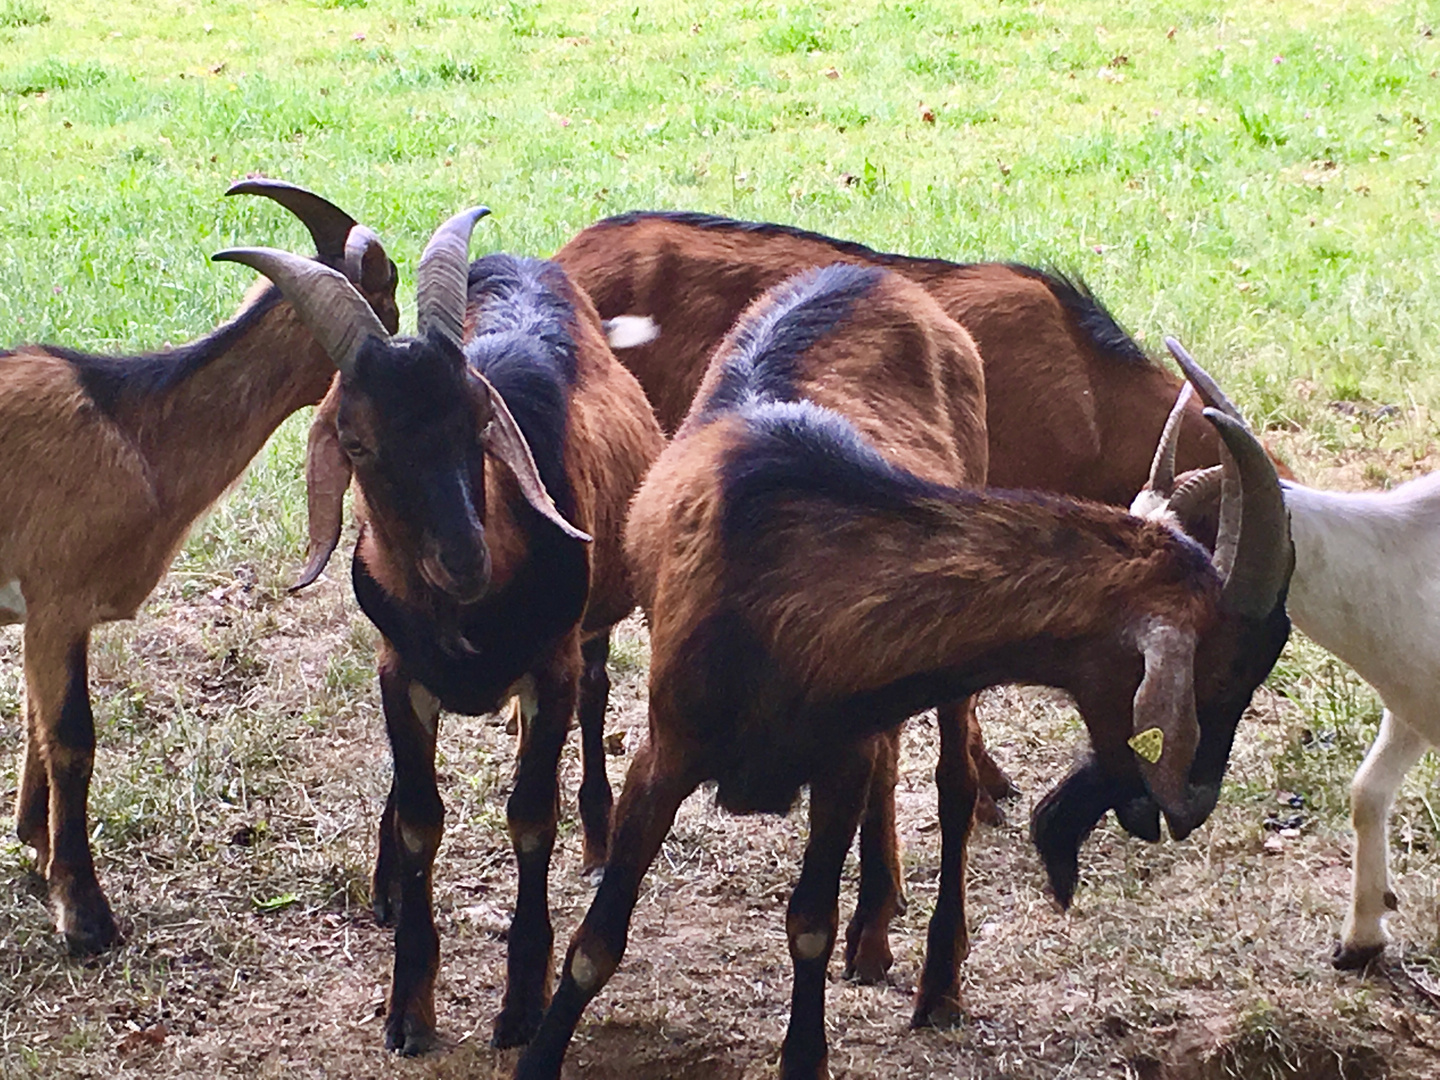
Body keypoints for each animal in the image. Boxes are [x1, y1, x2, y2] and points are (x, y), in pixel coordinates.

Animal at [0, 180, 397, 956]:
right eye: (389, 296)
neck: (131, 428)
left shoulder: (42, 614)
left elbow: (36, 723)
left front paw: (35, 847)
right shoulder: (58, 600)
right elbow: (72, 739)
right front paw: (85, 915)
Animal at [216, 211, 665, 1059]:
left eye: (479, 420)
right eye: (357, 442)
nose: (463, 557)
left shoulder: (551, 662)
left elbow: (530, 815)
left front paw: (520, 1005)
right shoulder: (398, 671)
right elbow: (423, 817)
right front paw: (408, 1008)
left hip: (592, 628)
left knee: (596, 697)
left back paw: (597, 832)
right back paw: (387, 881)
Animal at [515, 262, 1296, 1080]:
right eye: (1219, 675)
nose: (1194, 804)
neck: (781, 574)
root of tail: (866, 272)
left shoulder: (838, 759)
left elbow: (809, 922)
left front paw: (807, 1055)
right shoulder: (667, 748)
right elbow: (597, 942)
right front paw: (536, 1051)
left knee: (953, 788)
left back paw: (934, 978)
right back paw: (877, 930)